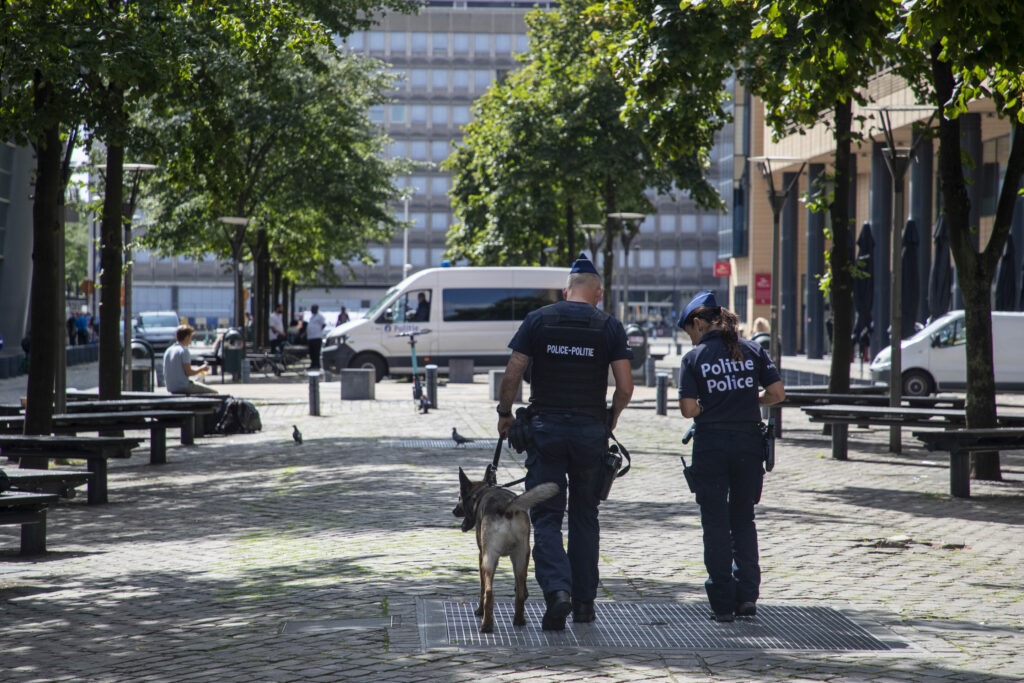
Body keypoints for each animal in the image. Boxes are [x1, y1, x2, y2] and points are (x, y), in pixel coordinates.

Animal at [452, 466, 557, 634]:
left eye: (459, 497)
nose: (454, 511)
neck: (481, 492)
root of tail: (507, 506)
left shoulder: (481, 556)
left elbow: (482, 588)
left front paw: (479, 611)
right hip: (521, 558)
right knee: (520, 592)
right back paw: (519, 620)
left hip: (489, 559)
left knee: (489, 592)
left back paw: (486, 625)